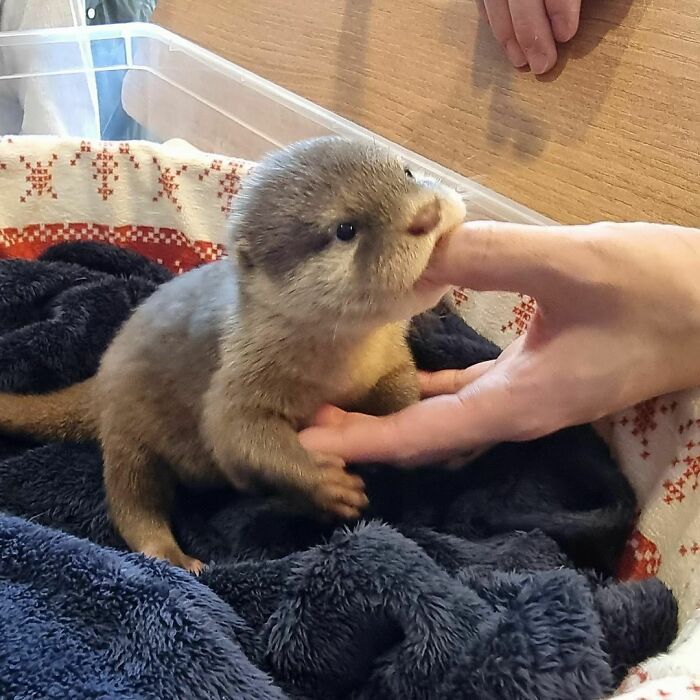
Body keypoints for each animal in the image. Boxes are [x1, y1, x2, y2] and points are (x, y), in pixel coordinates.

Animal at [0, 137, 467, 573]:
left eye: (406, 172)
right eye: (346, 229)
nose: (426, 216)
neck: (343, 366)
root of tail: (100, 377)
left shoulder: (391, 355)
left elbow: (402, 385)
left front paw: (415, 420)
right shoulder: (240, 373)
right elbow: (236, 436)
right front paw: (324, 483)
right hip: (127, 431)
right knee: (132, 500)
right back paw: (172, 556)